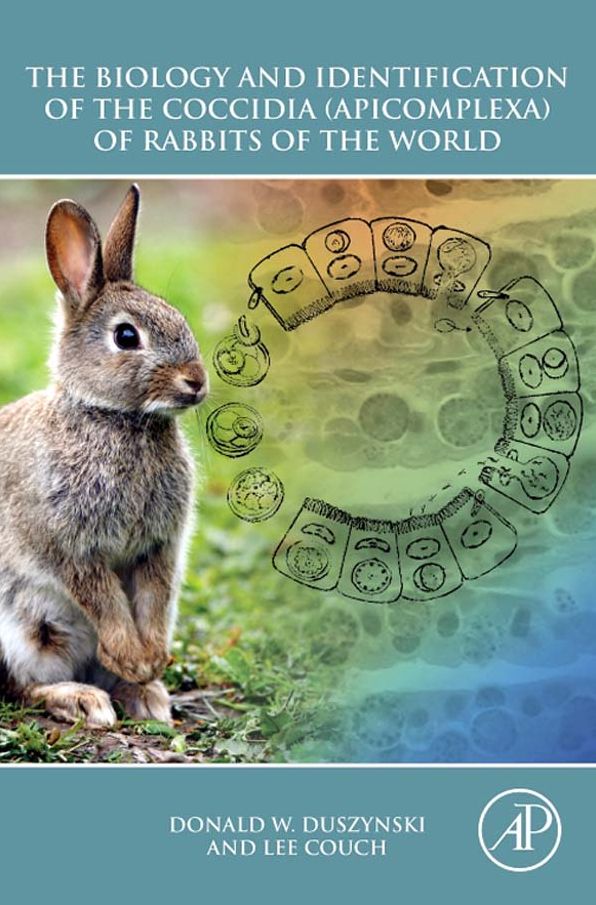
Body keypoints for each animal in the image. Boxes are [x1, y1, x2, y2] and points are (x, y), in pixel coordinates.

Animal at [0, 184, 208, 728]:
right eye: (126, 336)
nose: (196, 382)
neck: (118, 419)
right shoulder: (70, 548)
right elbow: (105, 601)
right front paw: (134, 658)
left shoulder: (159, 546)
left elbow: (154, 597)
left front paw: (148, 663)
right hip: (18, 631)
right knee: (22, 686)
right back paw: (82, 699)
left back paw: (145, 695)